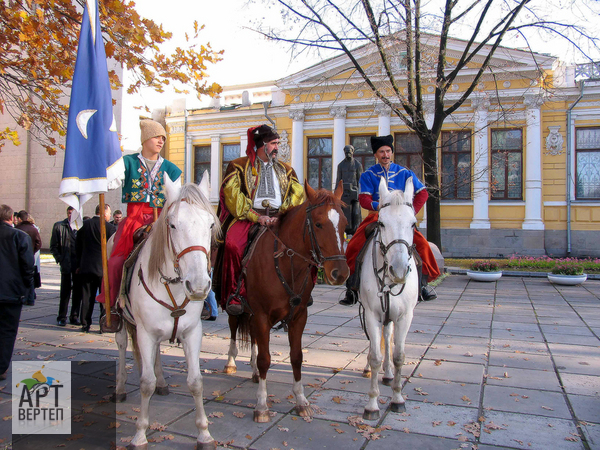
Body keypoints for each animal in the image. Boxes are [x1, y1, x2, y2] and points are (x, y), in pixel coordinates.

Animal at [112, 173, 218, 450]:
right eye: (172, 225)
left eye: (210, 225)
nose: (199, 285)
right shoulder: (145, 333)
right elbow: (145, 384)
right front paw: (139, 434)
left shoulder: (192, 332)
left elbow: (196, 382)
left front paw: (204, 433)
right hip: (120, 319)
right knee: (121, 344)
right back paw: (119, 388)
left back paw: (161, 382)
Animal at [223, 180, 350, 422]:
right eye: (318, 224)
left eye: (345, 224)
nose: (340, 273)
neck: (285, 261)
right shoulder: (262, 315)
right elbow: (265, 359)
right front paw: (262, 406)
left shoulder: (299, 316)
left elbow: (296, 357)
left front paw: (301, 401)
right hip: (233, 303)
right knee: (234, 327)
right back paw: (231, 363)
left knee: (252, 336)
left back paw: (253, 371)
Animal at [358, 177, 420, 422]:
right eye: (382, 223)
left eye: (413, 224)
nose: (399, 270)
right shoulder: (372, 314)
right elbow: (375, 355)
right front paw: (372, 405)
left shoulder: (405, 316)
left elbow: (399, 355)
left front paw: (397, 398)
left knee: (388, 335)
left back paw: (388, 374)